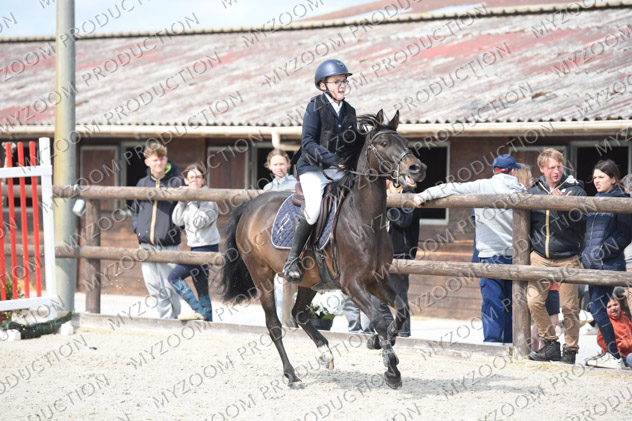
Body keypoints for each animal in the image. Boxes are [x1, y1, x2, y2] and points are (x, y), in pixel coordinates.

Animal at [218, 110, 426, 389]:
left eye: (404, 141)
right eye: (383, 143)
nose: (417, 168)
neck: (364, 219)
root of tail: (251, 205)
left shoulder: (376, 279)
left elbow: (400, 311)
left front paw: (381, 342)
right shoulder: (352, 284)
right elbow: (378, 319)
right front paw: (391, 368)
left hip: (310, 280)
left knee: (299, 313)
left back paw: (324, 352)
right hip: (261, 275)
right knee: (275, 325)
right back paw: (292, 375)